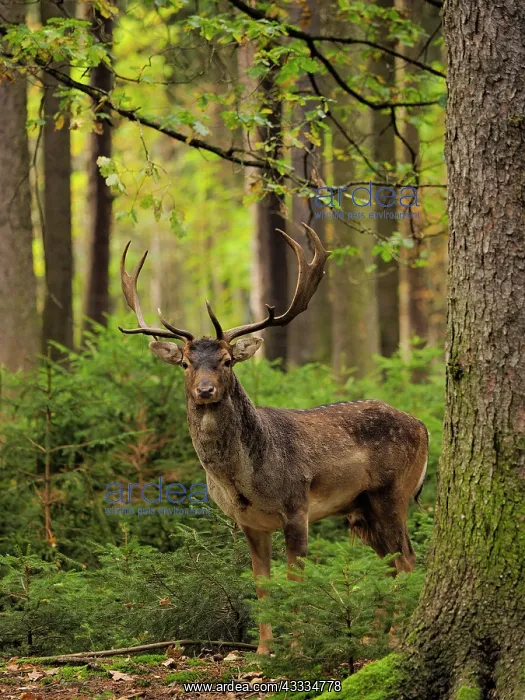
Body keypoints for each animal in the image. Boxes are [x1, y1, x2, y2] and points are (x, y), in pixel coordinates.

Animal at [119, 223, 429, 655]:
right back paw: (370, 638)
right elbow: (262, 585)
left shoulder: (297, 507)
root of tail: (424, 426)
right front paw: (265, 651)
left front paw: (294, 650)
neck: (244, 482)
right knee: (389, 563)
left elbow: (294, 582)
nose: (205, 390)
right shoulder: (250, 522)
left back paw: (396, 639)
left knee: (407, 559)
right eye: (185, 363)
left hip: (392, 492)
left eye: (226, 361)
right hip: (360, 507)